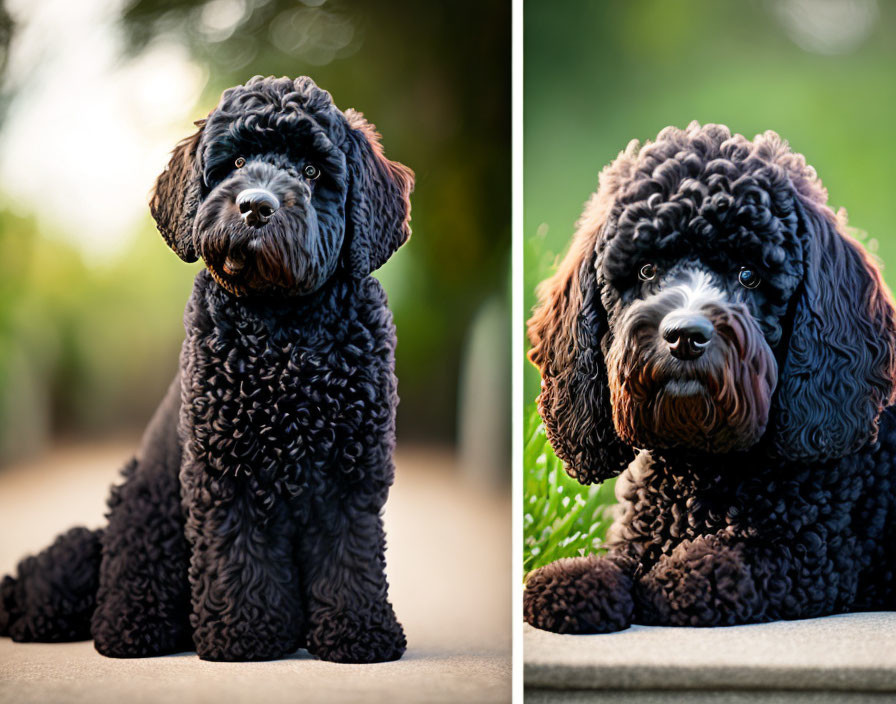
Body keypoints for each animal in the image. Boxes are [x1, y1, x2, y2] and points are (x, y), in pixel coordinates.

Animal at [0, 74, 412, 664]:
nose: (256, 205)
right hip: (146, 514)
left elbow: (350, 557)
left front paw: (358, 631)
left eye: (312, 171)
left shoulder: (350, 472)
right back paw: (134, 628)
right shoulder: (225, 470)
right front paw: (245, 634)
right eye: (235, 161)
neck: (284, 334)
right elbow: (238, 556)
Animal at [520, 124, 896, 636]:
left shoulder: (812, 554)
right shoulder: (637, 540)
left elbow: (722, 561)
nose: (684, 335)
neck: (698, 472)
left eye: (749, 275)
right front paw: (576, 581)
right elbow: (617, 564)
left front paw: (667, 581)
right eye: (647, 269)